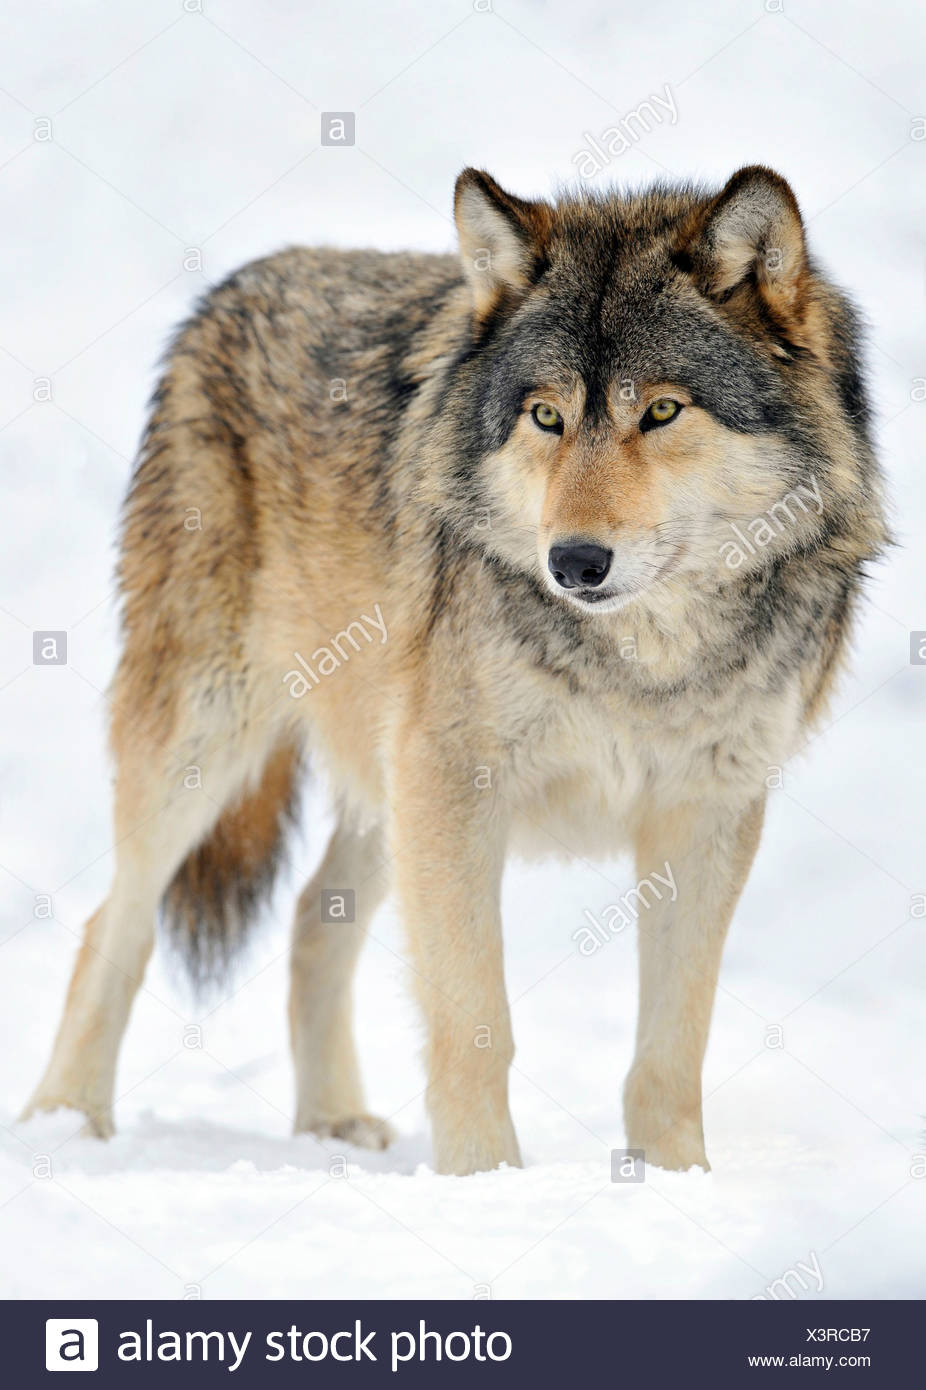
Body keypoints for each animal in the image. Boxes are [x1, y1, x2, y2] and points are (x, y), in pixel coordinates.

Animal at [24, 165, 887, 1175]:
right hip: (212, 744)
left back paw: (331, 1122)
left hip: (383, 779)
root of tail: (235, 286)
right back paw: (67, 1121)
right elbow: (475, 1023)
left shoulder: (705, 815)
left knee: (312, 919)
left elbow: (672, 1049)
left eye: (662, 411)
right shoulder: (455, 787)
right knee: (113, 926)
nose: (574, 563)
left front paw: (677, 1183)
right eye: (546, 417)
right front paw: (484, 1181)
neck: (642, 658)